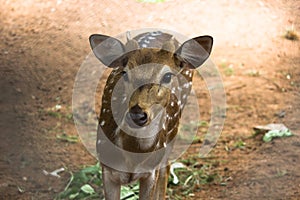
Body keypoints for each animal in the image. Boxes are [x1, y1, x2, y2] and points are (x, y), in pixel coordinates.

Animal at [89, 30, 213, 199]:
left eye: (167, 76)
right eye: (124, 73)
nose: (137, 114)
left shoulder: (150, 173)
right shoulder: (107, 169)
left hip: (171, 136)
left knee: (165, 169)